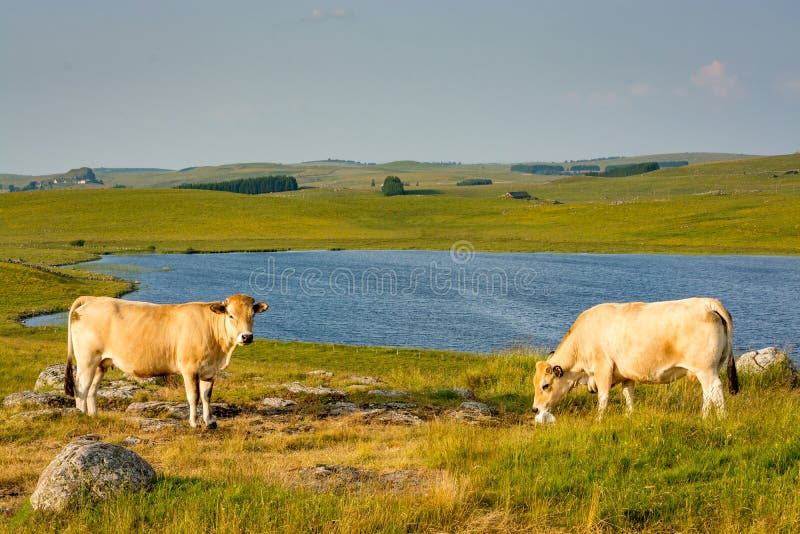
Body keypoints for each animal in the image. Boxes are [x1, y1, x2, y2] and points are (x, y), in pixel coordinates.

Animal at [63, 296, 268, 430]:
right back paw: (81, 416)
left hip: (101, 363)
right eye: (231, 315)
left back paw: (93, 416)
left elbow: (207, 396)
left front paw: (210, 422)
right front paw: (194, 422)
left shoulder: (210, 371)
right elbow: (194, 396)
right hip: (87, 360)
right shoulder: (189, 368)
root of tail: (92, 299)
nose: (247, 337)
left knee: (92, 390)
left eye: (252, 315)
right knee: (81, 388)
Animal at [532, 298, 736, 422]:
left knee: (715, 389)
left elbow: (603, 397)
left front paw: (599, 419)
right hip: (706, 369)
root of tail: (707, 303)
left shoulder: (603, 368)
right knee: (707, 393)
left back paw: (717, 418)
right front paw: (629, 416)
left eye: (545, 385)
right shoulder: (625, 374)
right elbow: (628, 395)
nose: (535, 409)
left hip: (706, 369)